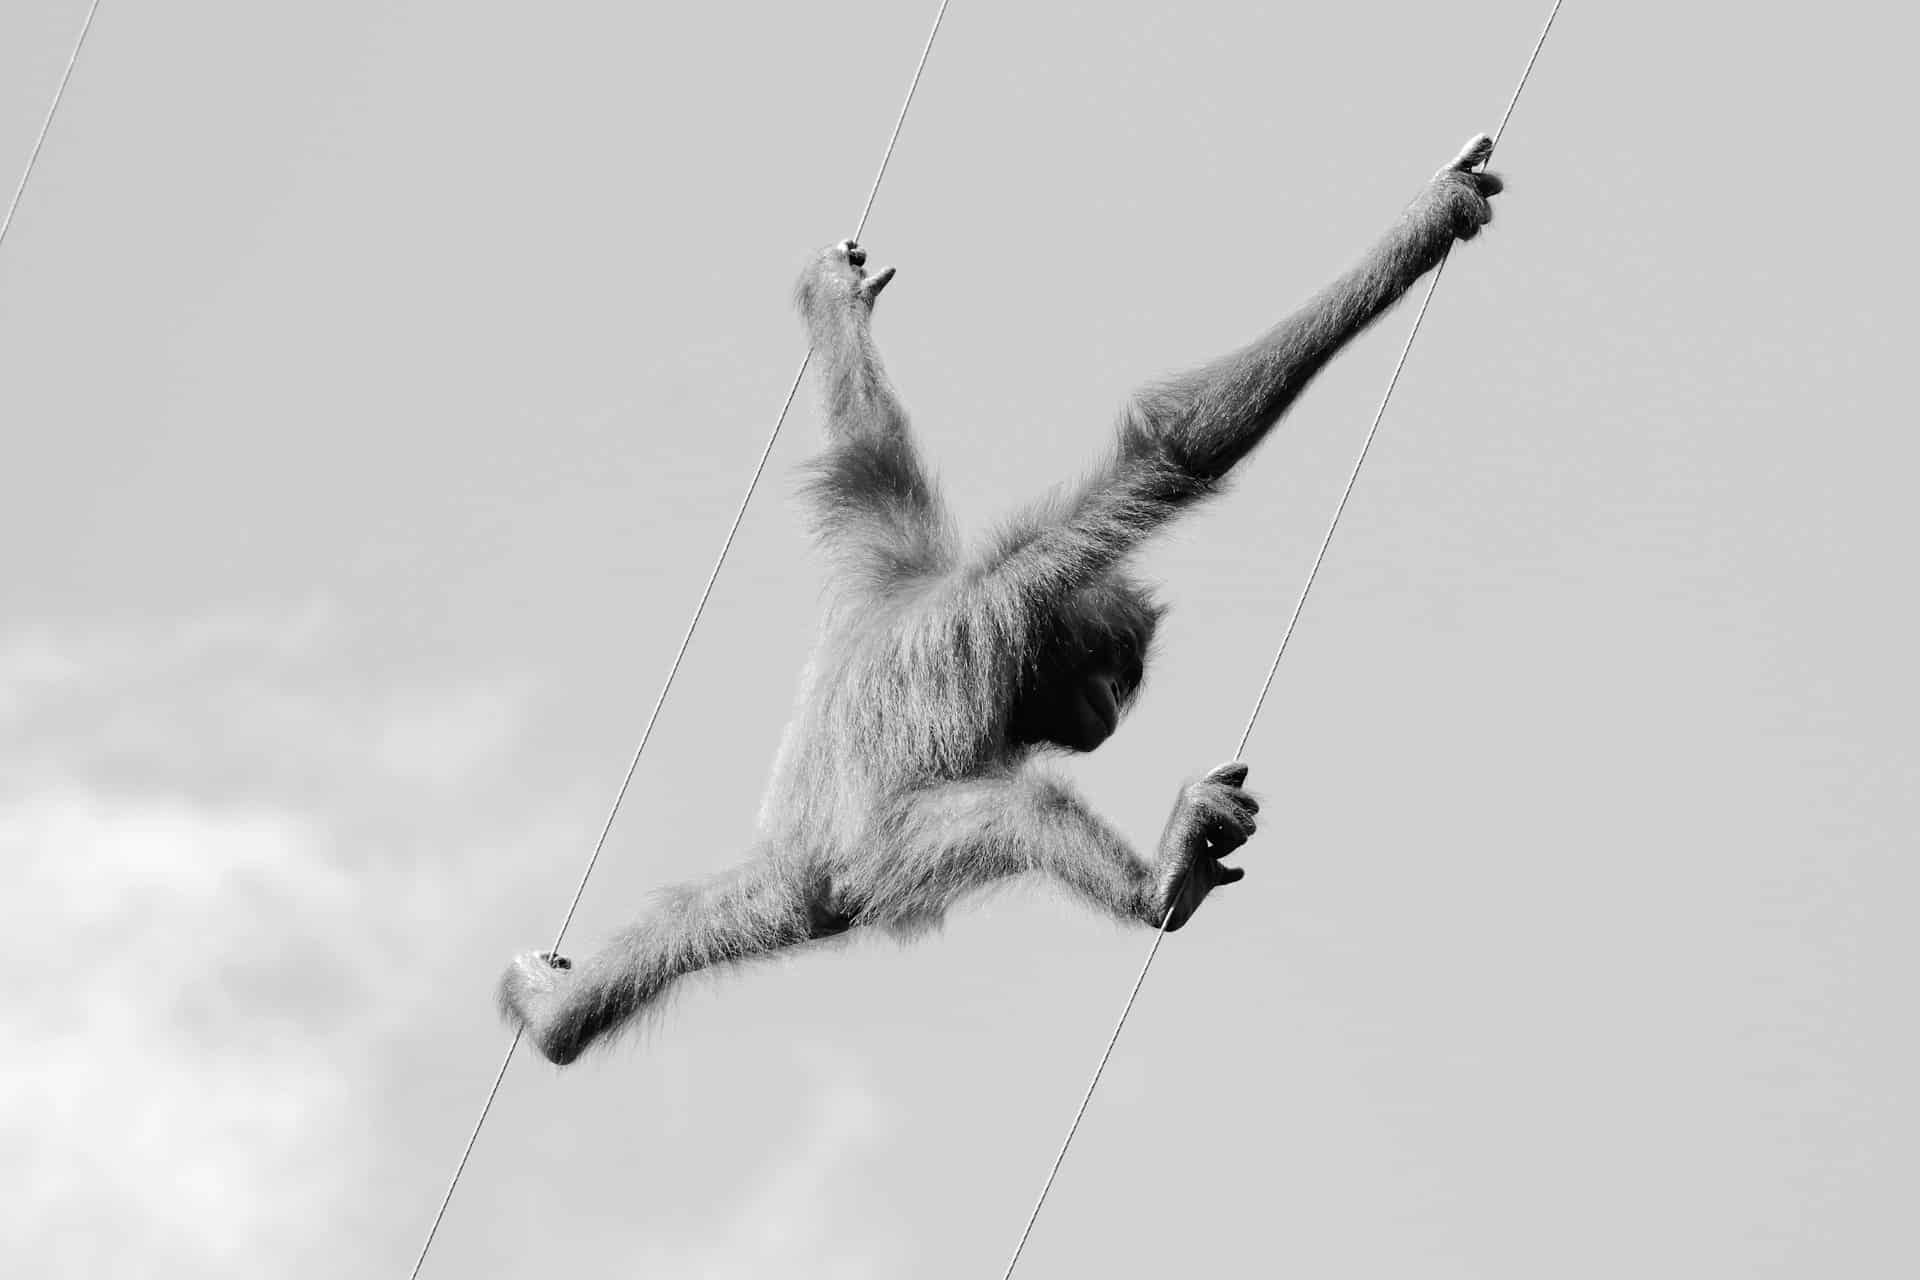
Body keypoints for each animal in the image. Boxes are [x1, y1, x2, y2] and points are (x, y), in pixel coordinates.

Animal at [500, 135, 1505, 1065]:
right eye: (1112, 676)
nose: (1112, 708)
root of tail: (801, 868)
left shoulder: (890, 549)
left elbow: (866, 440)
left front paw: (835, 299)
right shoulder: (1022, 585)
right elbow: (1178, 449)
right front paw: (1429, 221)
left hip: (793, 886)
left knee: (691, 924)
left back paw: (557, 1016)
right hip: (882, 858)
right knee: (1014, 814)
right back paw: (1158, 883)